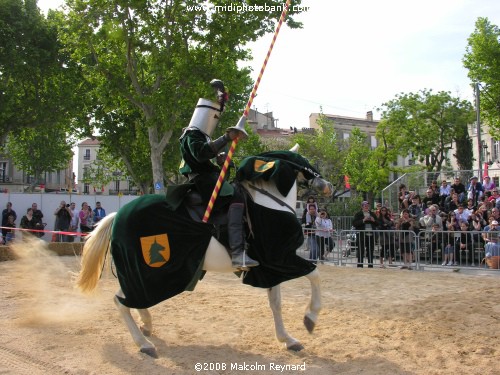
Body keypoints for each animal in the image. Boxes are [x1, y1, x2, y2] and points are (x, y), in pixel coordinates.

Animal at [75, 150, 332, 358]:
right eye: (304, 162)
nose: (327, 186)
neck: (269, 203)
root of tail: (117, 215)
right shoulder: (282, 259)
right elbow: (315, 275)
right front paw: (310, 318)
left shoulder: (270, 267)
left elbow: (276, 303)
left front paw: (287, 339)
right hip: (147, 273)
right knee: (121, 301)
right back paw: (144, 344)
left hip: (140, 275)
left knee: (129, 299)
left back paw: (146, 325)